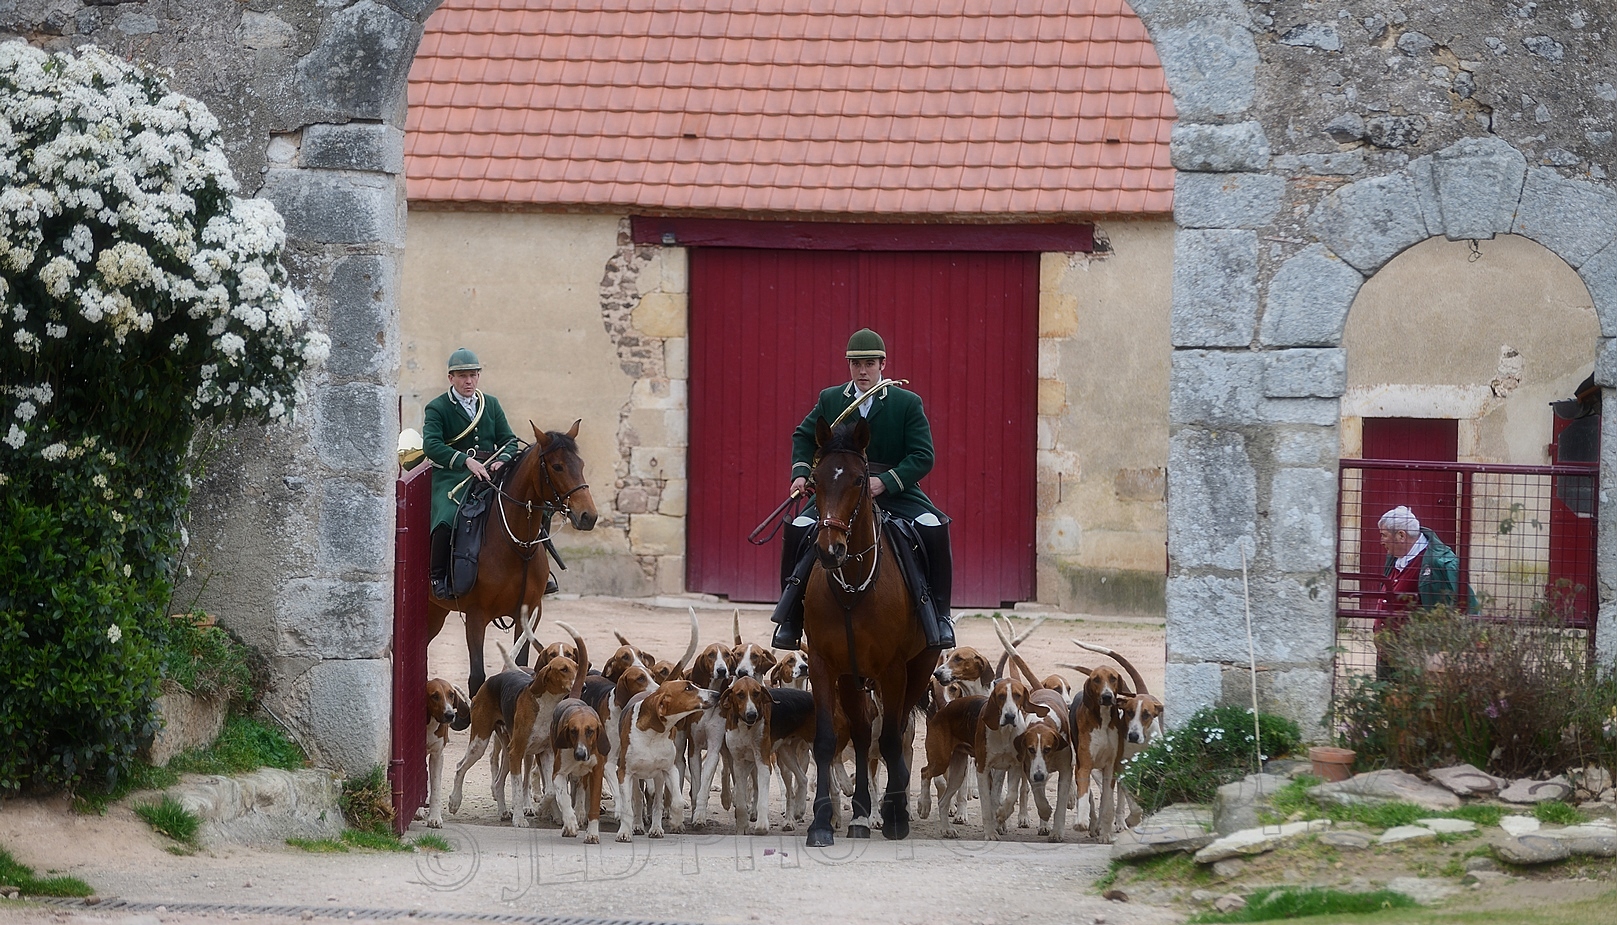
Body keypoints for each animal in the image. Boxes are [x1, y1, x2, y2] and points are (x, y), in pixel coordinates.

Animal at [430, 420, 601, 692]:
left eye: (581, 464)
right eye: (557, 466)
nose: (588, 516)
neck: (517, 549)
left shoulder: (527, 616)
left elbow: (521, 666)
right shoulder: (476, 617)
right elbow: (477, 677)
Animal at [802, 420, 944, 847]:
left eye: (860, 479)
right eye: (815, 479)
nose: (829, 550)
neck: (853, 584)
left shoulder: (893, 669)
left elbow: (893, 739)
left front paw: (895, 814)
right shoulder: (825, 664)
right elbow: (828, 741)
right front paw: (821, 823)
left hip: (917, 668)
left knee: (896, 732)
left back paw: (892, 806)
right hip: (852, 677)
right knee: (864, 736)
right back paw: (862, 814)